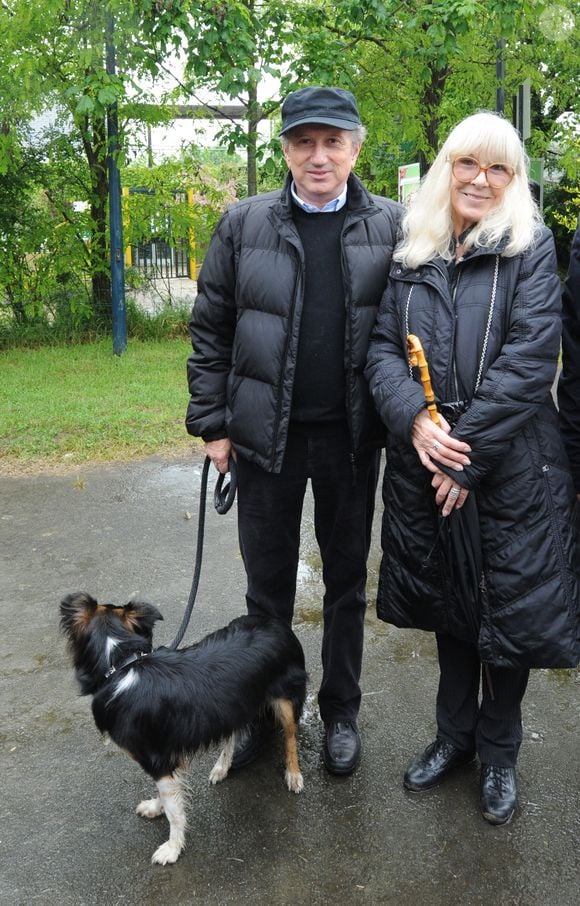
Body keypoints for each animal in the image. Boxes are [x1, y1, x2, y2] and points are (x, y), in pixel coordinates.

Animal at [60, 592, 308, 860]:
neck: (120, 663)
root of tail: (276, 623)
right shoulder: (165, 756)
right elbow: (168, 794)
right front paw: (155, 808)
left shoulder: (155, 759)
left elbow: (174, 810)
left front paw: (172, 848)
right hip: (233, 703)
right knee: (233, 732)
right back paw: (222, 766)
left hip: (285, 698)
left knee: (290, 736)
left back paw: (293, 774)